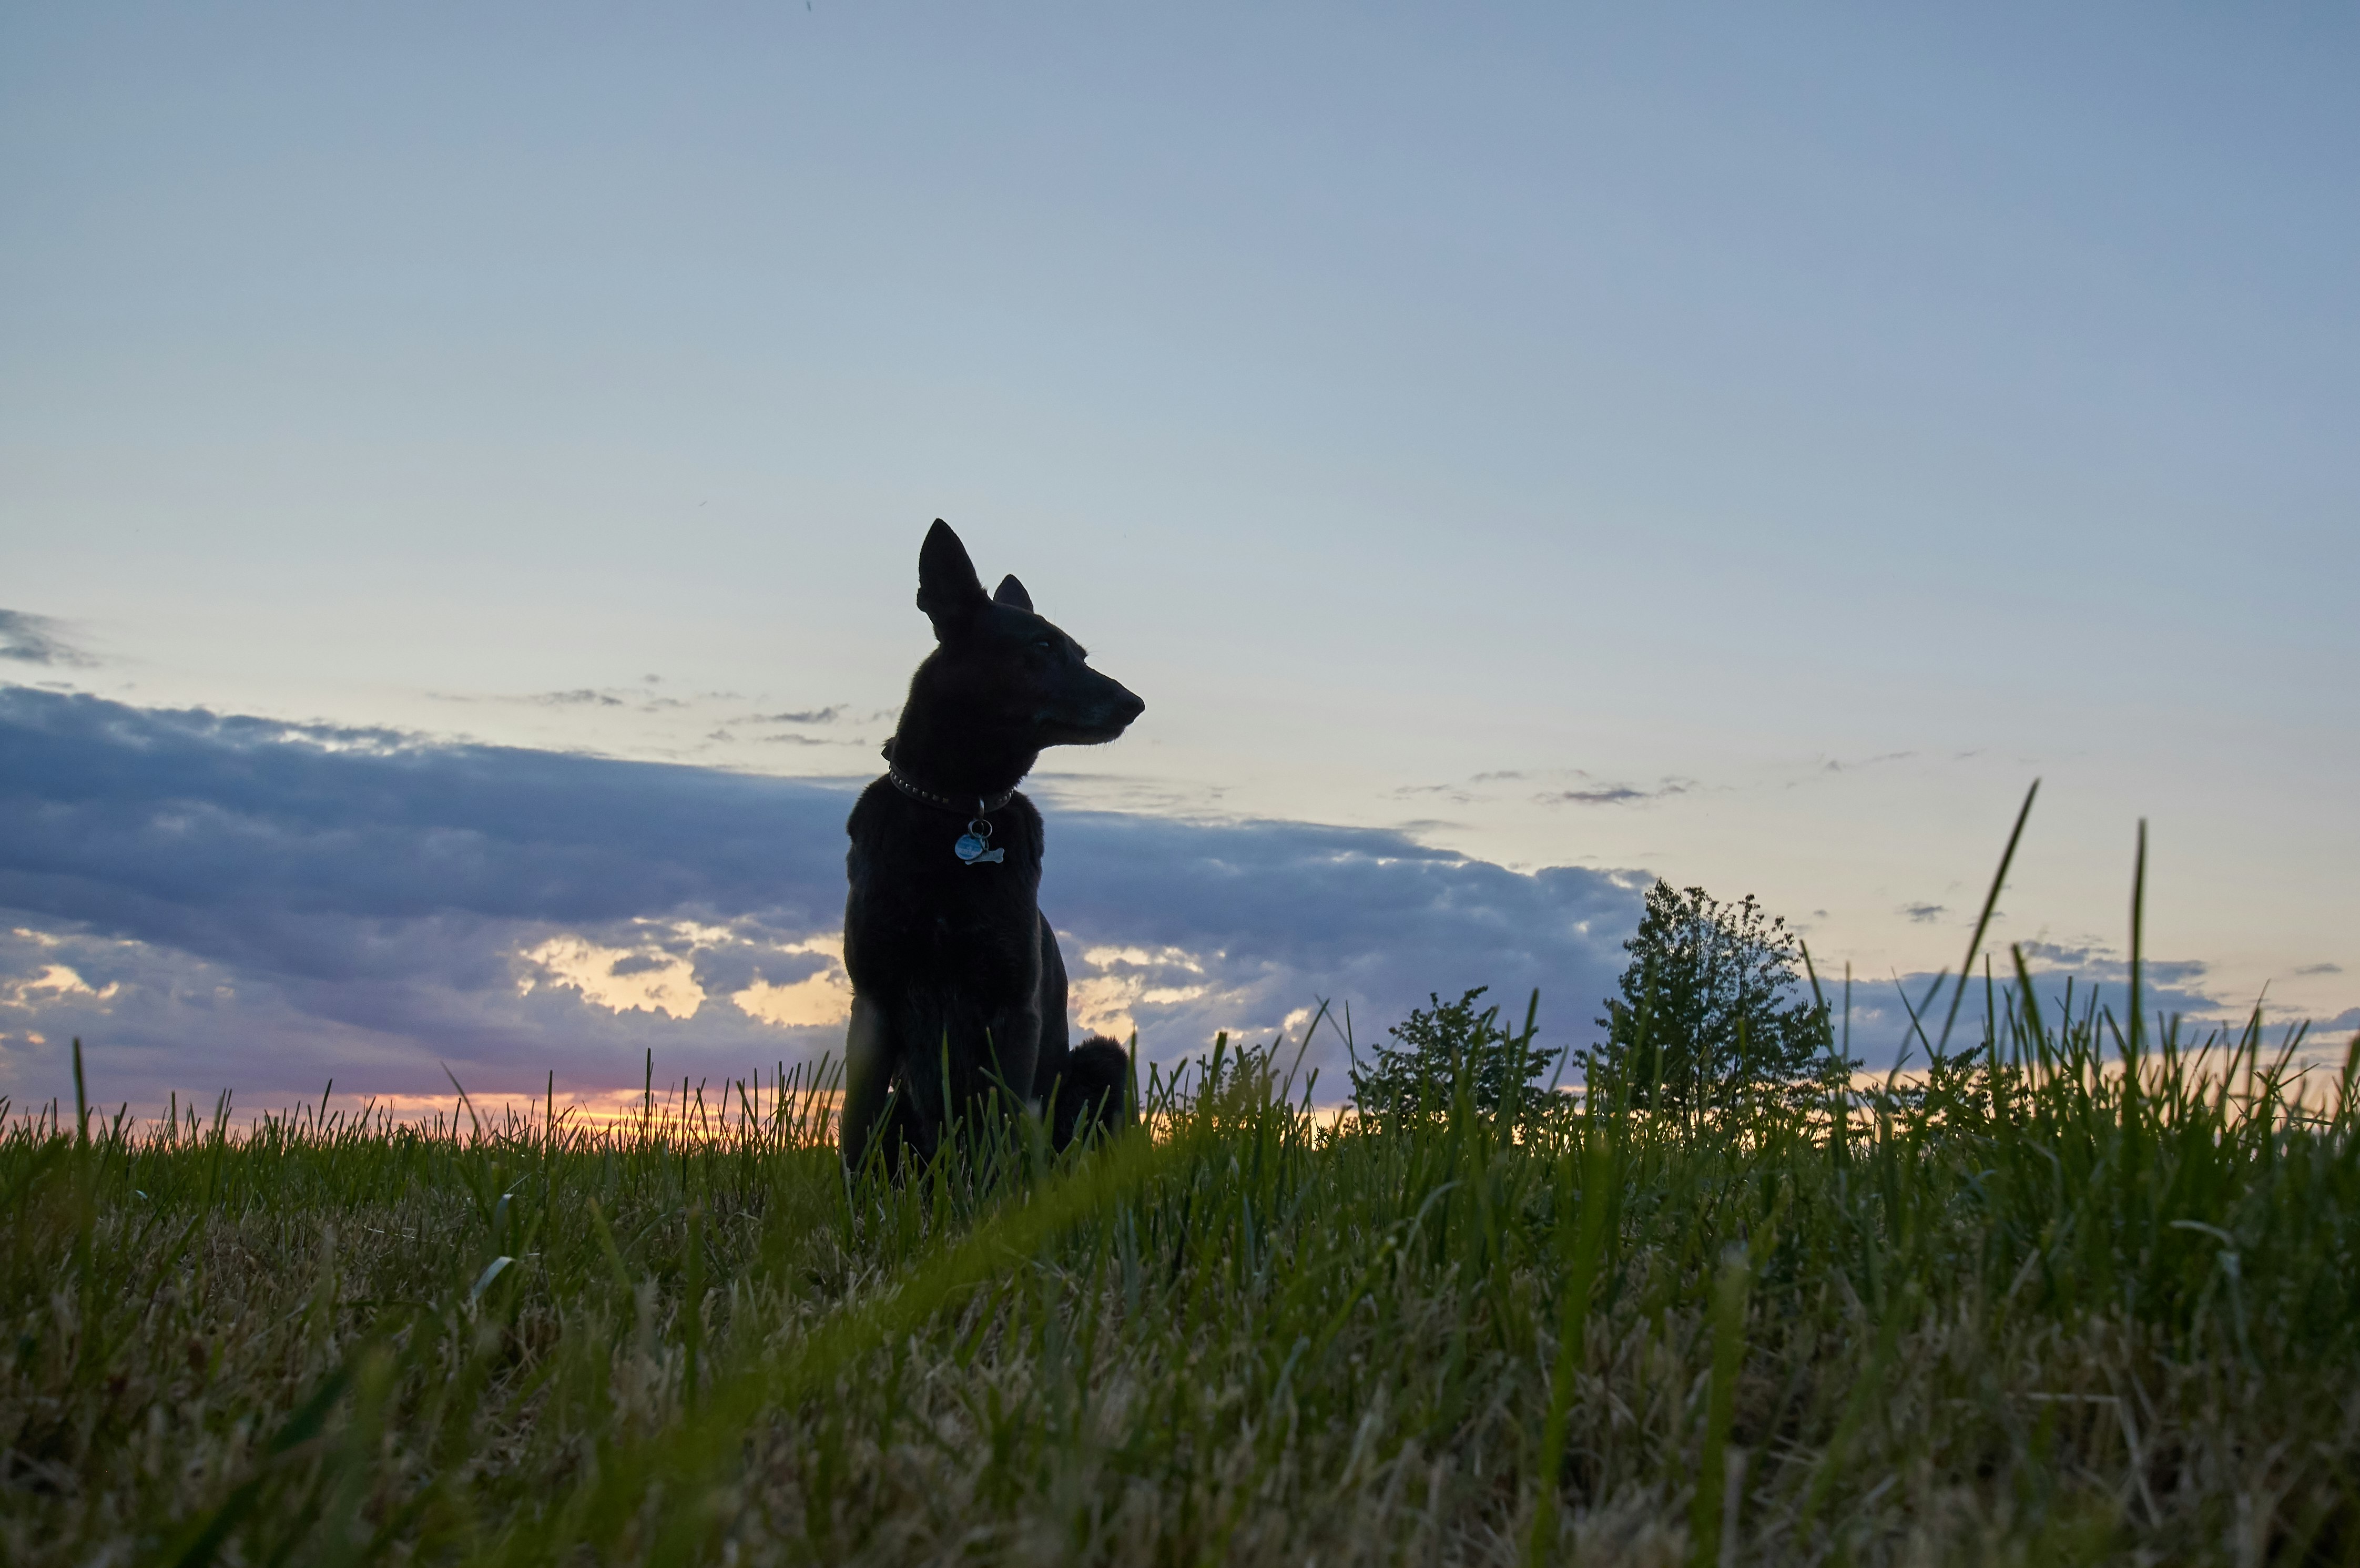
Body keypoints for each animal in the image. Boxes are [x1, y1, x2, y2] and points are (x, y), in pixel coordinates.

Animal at [845, 520, 1147, 1171]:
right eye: (1041, 647)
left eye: (1080, 653)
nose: (1135, 704)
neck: (957, 811)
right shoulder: (874, 1005)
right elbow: (855, 1135)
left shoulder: (1014, 1010)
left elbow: (997, 1132)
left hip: (1104, 1060)